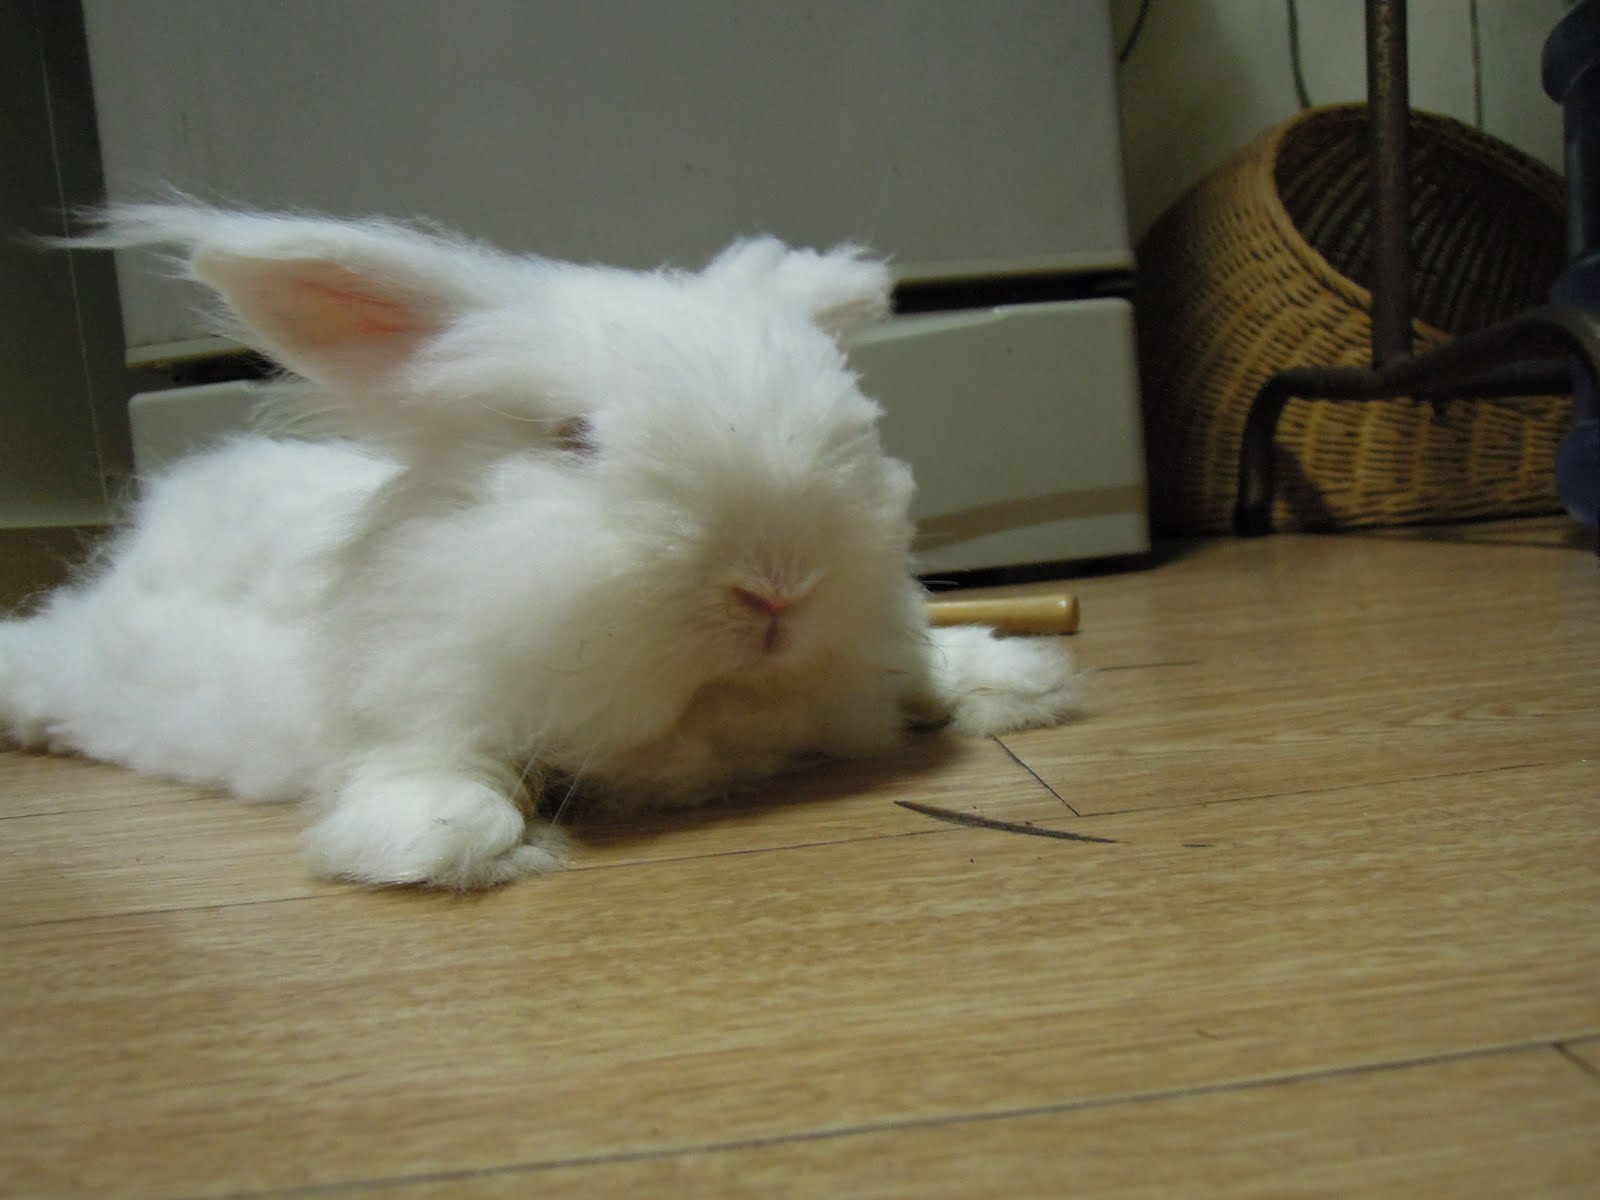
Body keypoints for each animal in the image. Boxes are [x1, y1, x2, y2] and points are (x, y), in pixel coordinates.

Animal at [0, 202, 1080, 888]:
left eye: (849, 431)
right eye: (574, 440)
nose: (774, 587)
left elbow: (926, 665)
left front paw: (1017, 680)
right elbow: (452, 790)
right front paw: (447, 846)